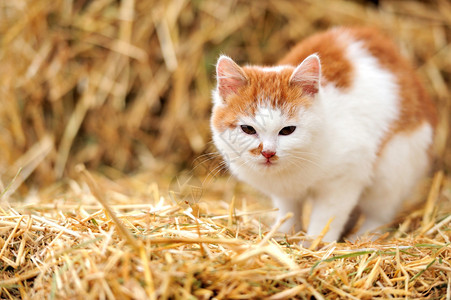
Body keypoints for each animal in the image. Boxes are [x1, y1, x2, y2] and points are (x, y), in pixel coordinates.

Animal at [212, 26, 438, 241]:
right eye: (248, 129)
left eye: (287, 130)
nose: (268, 152)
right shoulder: (285, 194)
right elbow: (289, 210)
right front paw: (284, 234)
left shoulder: (345, 178)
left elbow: (327, 217)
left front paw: (315, 243)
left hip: (393, 169)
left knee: (380, 214)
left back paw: (363, 237)